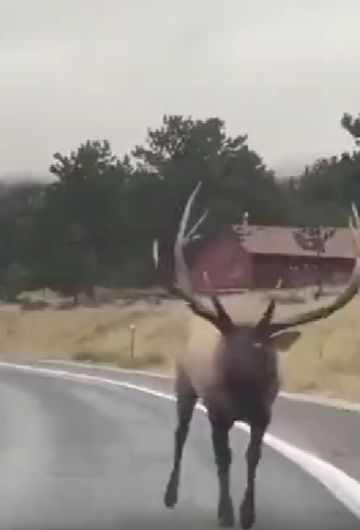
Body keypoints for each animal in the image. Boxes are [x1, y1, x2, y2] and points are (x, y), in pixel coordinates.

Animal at [158, 180, 360, 524]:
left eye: (258, 347)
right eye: (228, 348)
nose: (237, 373)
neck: (244, 399)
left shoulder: (264, 412)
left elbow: (253, 457)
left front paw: (248, 513)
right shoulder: (217, 409)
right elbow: (223, 458)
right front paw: (226, 513)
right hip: (184, 382)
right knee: (180, 432)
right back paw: (170, 495)